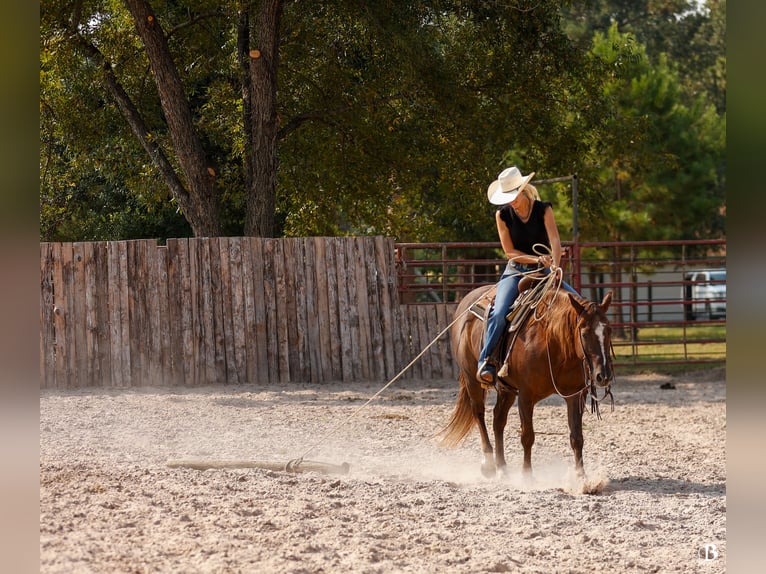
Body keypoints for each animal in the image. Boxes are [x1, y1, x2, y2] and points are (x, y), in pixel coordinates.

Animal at [438, 281, 614, 479]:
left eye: (609, 330)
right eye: (584, 333)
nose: (603, 375)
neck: (553, 341)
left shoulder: (575, 395)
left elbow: (576, 436)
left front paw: (581, 477)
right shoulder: (526, 395)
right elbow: (527, 436)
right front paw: (527, 476)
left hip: (506, 390)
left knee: (498, 419)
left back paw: (502, 468)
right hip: (472, 379)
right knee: (479, 414)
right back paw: (489, 464)